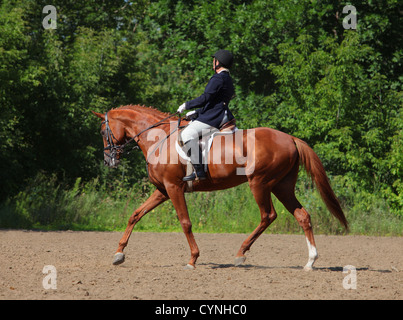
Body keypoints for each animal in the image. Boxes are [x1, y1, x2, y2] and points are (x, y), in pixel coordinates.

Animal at [93, 105, 348, 270]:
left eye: (104, 132)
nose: (108, 161)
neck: (160, 139)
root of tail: (290, 138)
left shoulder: (174, 188)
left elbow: (185, 223)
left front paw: (193, 259)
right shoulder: (163, 190)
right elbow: (135, 215)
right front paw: (118, 254)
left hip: (259, 183)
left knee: (268, 215)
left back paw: (240, 254)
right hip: (282, 186)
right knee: (302, 215)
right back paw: (310, 261)